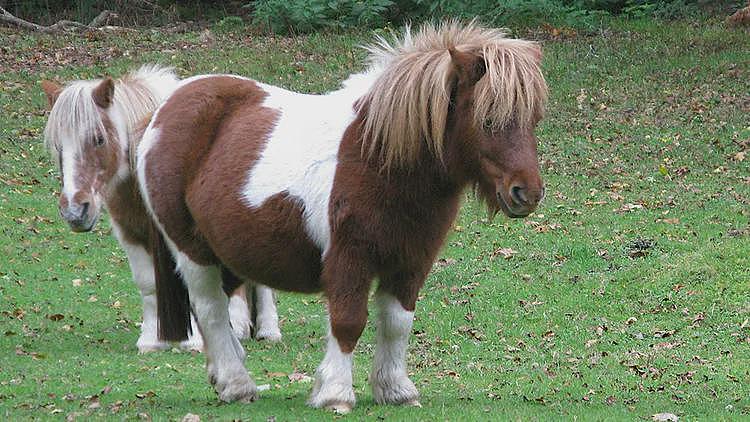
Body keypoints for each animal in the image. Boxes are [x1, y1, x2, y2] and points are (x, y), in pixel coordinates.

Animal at [41, 65, 282, 353]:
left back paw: (265, 329)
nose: (75, 212)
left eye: (98, 139)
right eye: (58, 145)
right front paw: (152, 339)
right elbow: (148, 283)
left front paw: (193, 340)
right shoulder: (129, 231)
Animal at [138, 21, 547, 412]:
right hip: (192, 250)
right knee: (210, 309)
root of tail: (164, 110)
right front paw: (335, 393)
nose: (526, 193)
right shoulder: (349, 259)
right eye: (488, 120)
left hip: (229, 254)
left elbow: (397, 323)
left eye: (533, 120)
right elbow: (349, 322)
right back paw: (237, 385)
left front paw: (396, 390)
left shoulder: (411, 262)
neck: (377, 156)